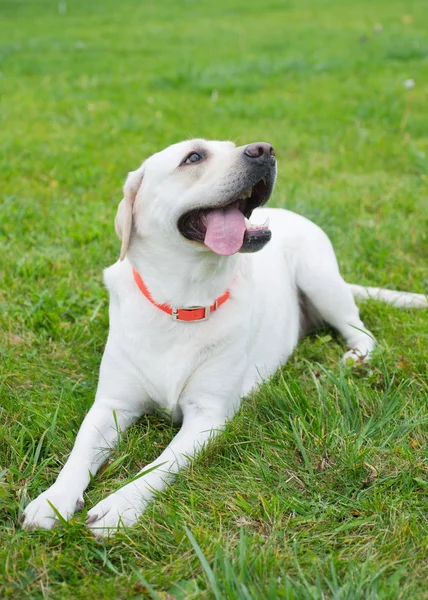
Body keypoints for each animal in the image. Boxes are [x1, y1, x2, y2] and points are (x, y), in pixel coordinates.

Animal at [20, 139, 428, 536]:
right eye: (193, 157)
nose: (265, 150)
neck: (183, 303)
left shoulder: (208, 417)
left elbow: (157, 466)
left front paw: (119, 506)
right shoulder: (112, 405)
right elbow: (78, 452)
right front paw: (52, 500)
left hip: (320, 278)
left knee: (360, 329)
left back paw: (357, 356)